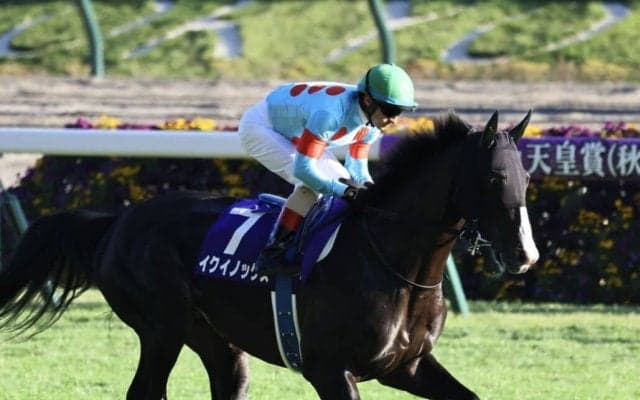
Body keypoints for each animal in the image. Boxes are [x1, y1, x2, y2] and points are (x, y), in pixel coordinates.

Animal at [0, 111, 539, 400]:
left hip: (215, 339)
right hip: (161, 327)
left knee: (226, 379)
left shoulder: (406, 367)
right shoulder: (330, 369)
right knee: (146, 390)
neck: (395, 263)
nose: (524, 254)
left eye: (527, 176)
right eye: (495, 177)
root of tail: (118, 221)